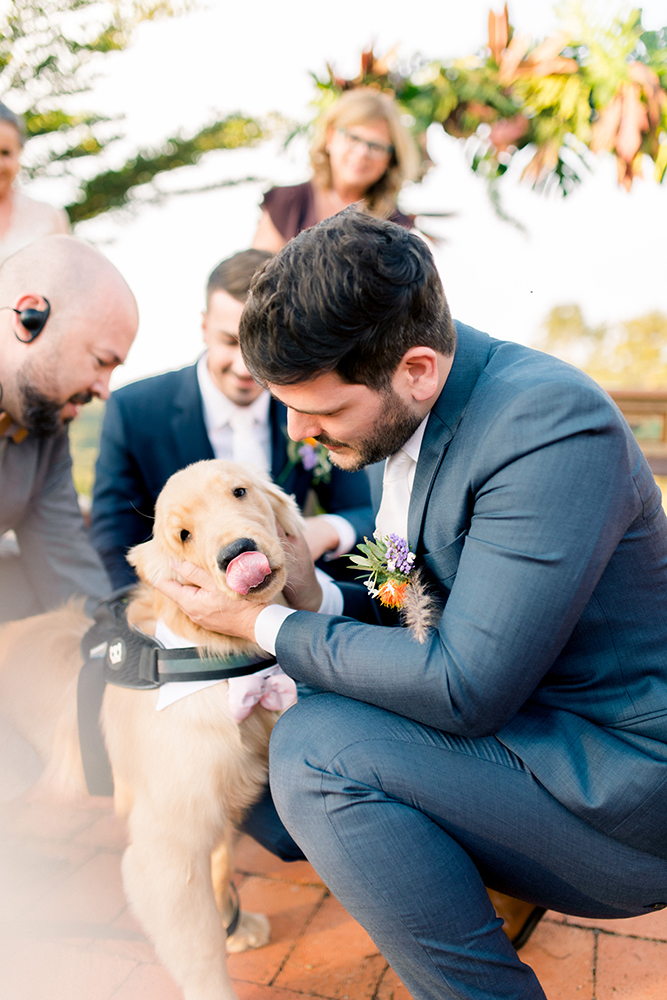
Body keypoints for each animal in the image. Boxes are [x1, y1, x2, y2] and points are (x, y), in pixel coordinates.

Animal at [0, 458, 306, 1000]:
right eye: (182, 535)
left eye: (239, 491)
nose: (237, 554)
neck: (203, 656)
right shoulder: (165, 848)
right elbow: (199, 949)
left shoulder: (214, 805)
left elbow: (219, 867)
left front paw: (235, 926)